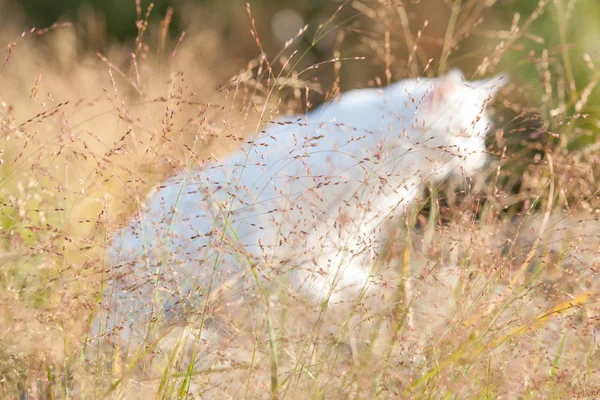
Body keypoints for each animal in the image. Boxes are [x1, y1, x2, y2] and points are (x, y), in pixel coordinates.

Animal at [109, 70, 506, 318]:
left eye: (482, 135)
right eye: (465, 134)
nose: (479, 159)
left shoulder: (351, 227)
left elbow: (335, 265)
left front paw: (349, 287)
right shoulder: (302, 220)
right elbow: (301, 268)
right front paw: (326, 292)